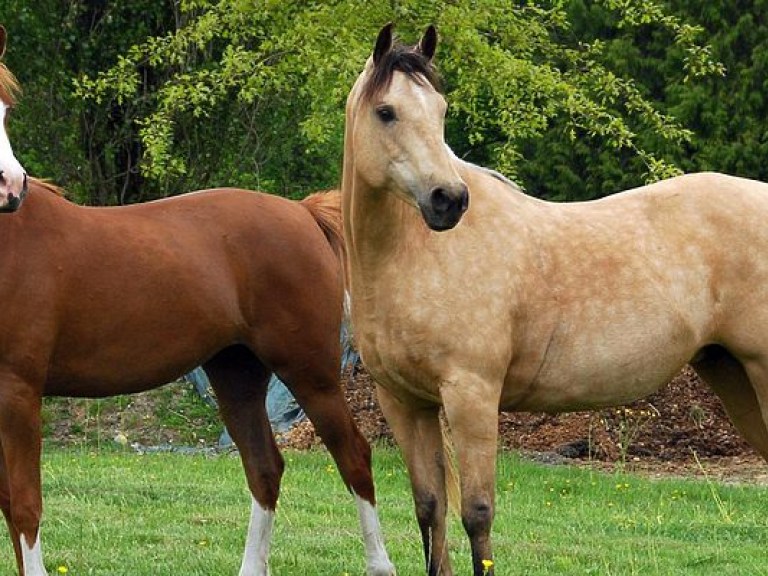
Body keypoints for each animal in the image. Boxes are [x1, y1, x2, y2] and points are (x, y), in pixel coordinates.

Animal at [0, 28, 392, 576]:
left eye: (6, 109)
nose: (10, 189)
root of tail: (302, 212)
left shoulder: (17, 391)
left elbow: (25, 505)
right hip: (236, 373)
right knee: (265, 466)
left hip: (310, 372)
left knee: (353, 456)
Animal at [344, 23, 768, 576]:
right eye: (386, 111)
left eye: (440, 109)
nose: (449, 200)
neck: (412, 256)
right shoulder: (404, 402)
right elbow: (430, 512)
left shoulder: (471, 395)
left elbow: (476, 514)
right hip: (732, 374)